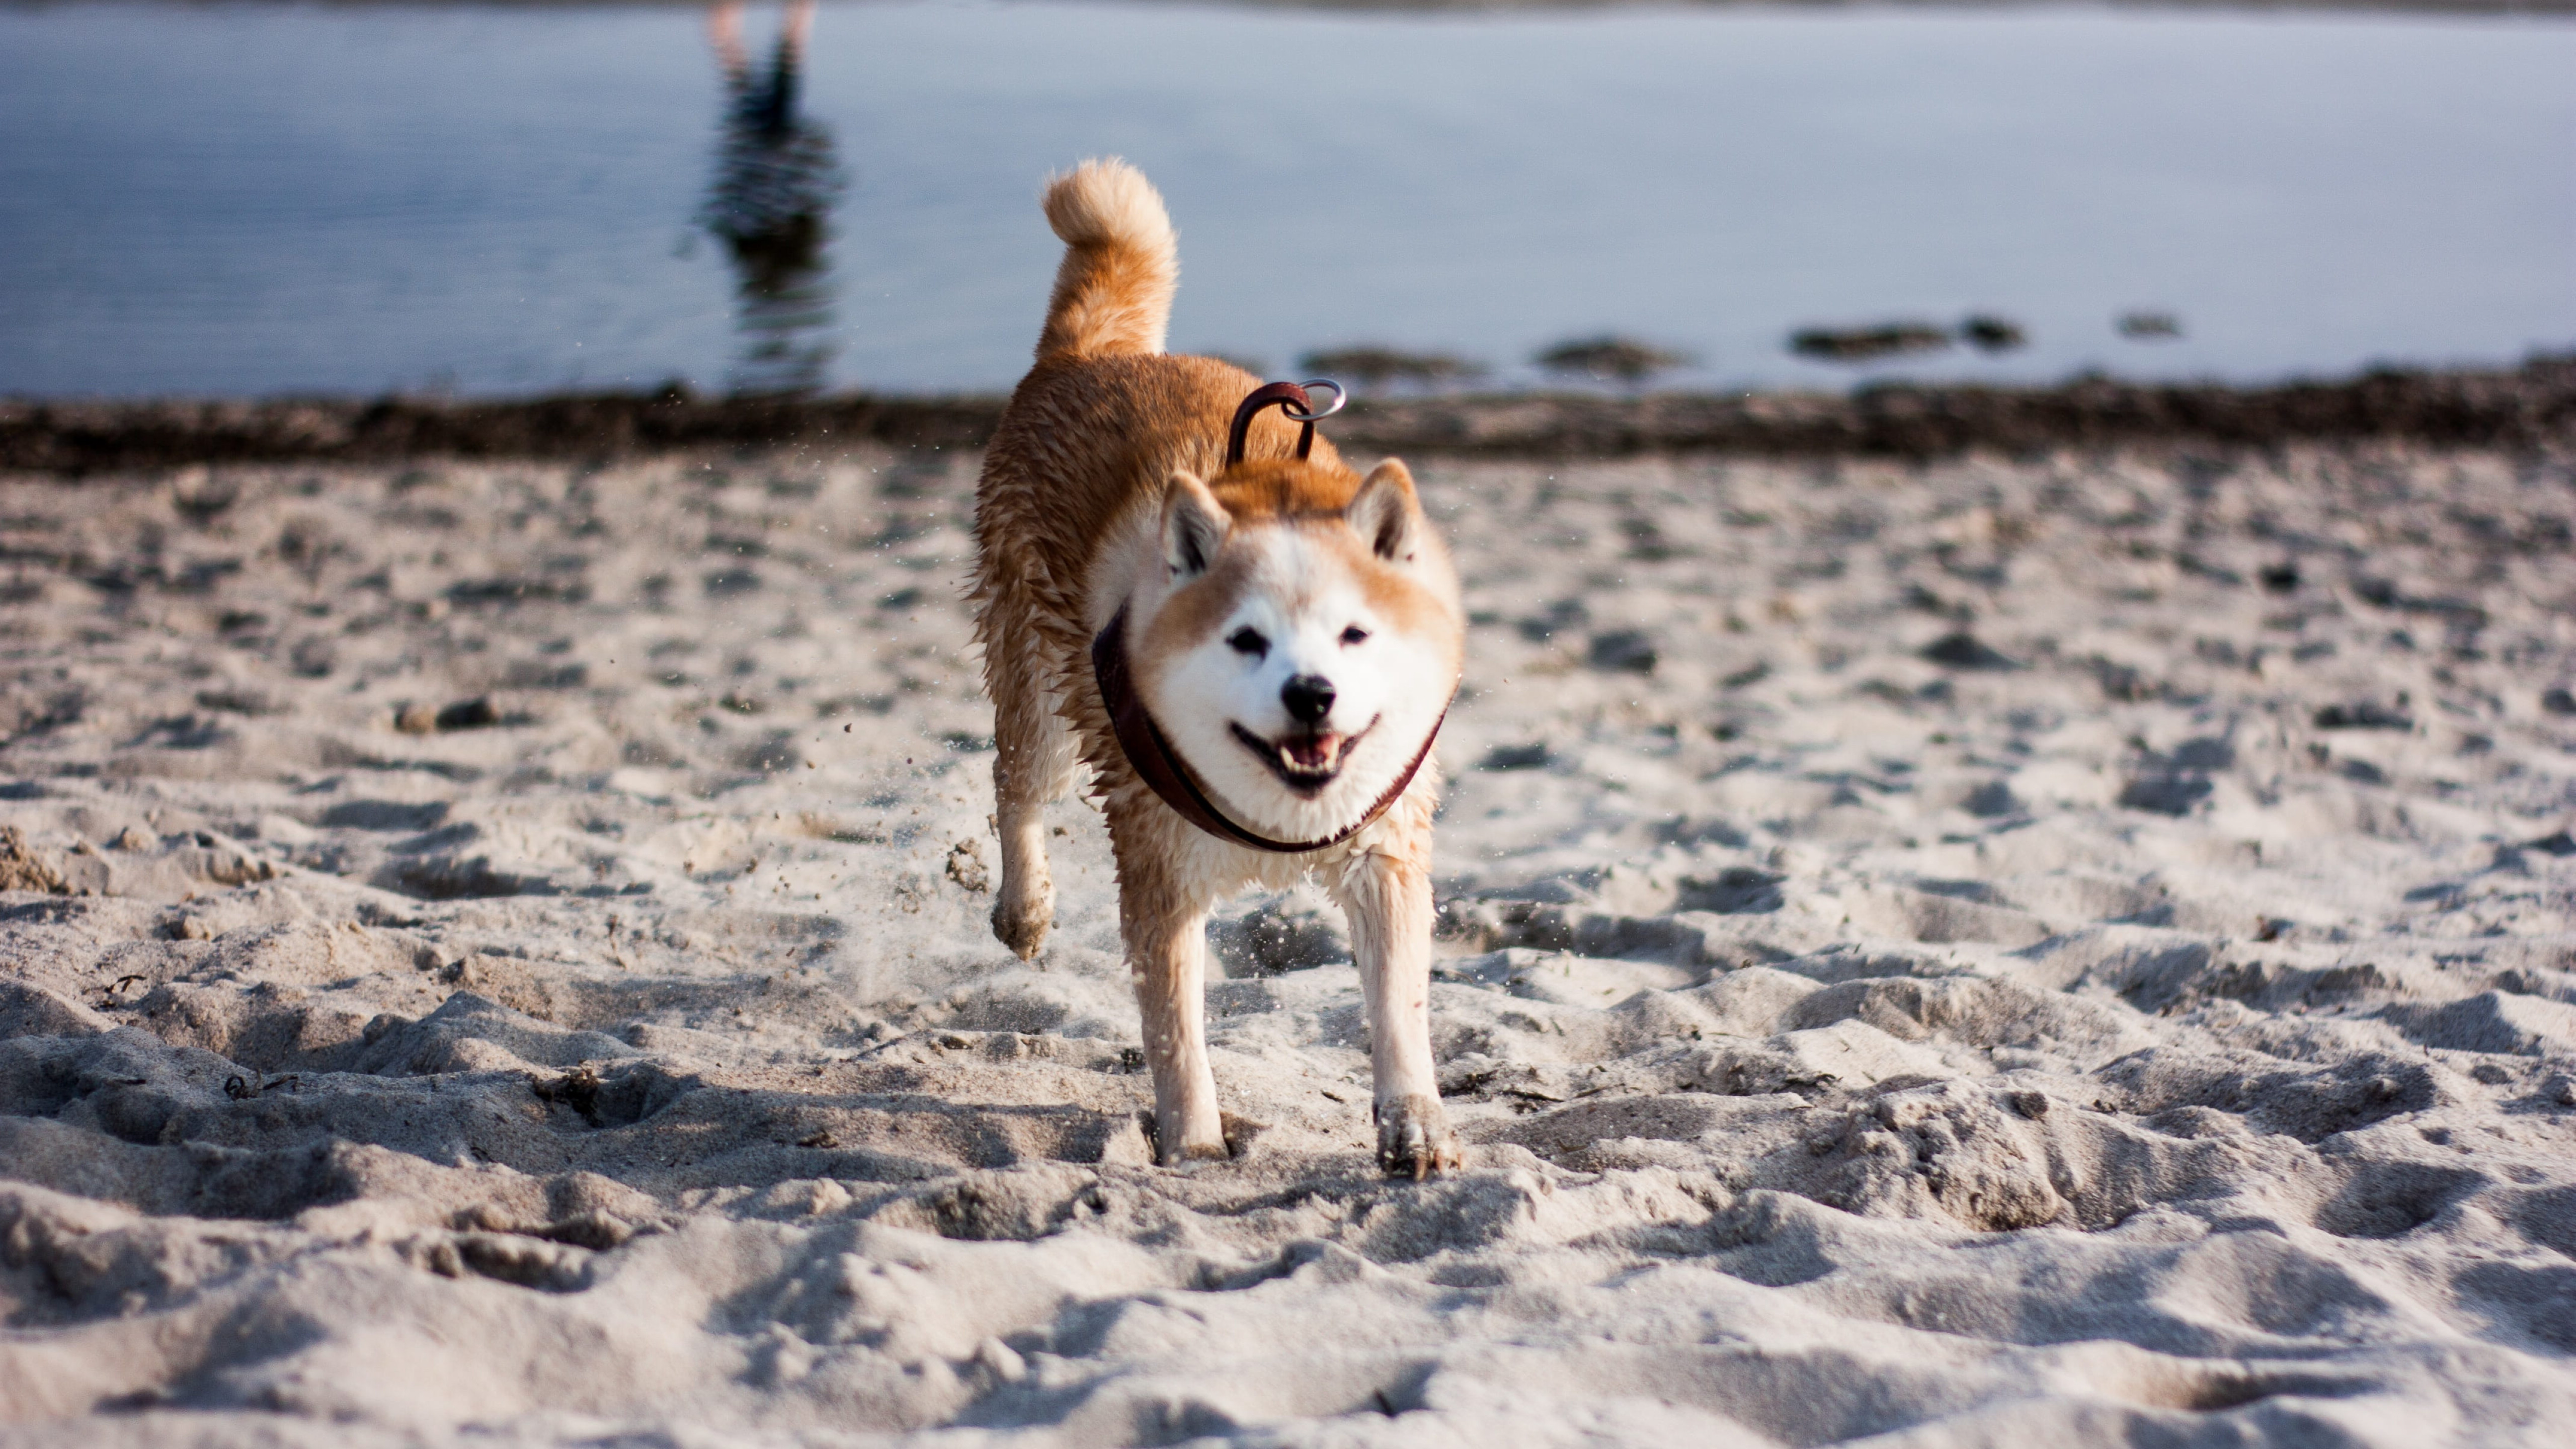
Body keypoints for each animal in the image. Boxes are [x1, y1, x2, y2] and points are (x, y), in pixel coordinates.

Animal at [969, 157, 1463, 1175]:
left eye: (1356, 635)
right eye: (1245, 639)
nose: (1311, 697)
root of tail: (1086, 358)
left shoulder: (1385, 852)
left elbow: (1400, 1004)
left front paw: (1415, 1119)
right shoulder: (1159, 867)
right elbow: (1175, 1028)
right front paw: (1194, 1142)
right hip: (1034, 677)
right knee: (1016, 782)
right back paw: (1024, 907)